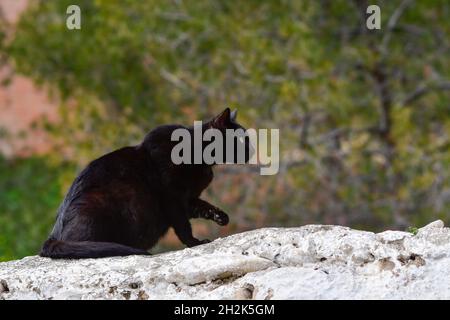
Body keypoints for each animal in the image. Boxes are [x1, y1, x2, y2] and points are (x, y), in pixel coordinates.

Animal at [40, 109, 251, 258]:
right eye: (240, 140)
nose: (252, 149)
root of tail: (53, 236)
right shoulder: (171, 197)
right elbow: (183, 226)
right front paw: (195, 243)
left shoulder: (188, 198)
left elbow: (204, 206)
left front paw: (220, 216)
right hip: (95, 203)